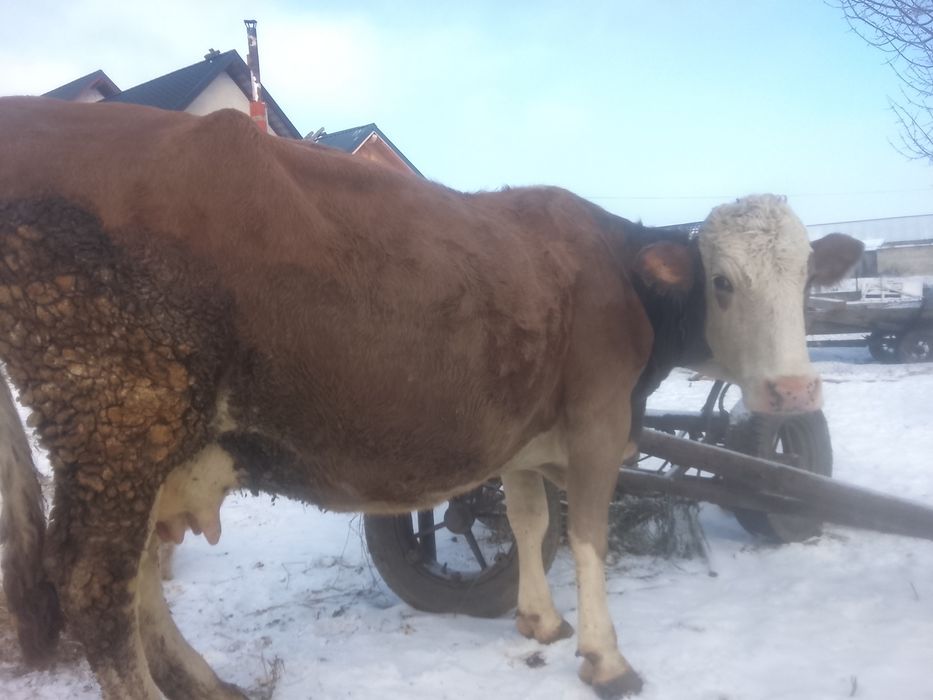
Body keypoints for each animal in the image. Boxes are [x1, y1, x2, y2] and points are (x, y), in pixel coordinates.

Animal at [0, 96, 862, 699]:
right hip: (119, 413)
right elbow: (585, 534)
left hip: (154, 441)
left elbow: (527, 519)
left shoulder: (523, 431)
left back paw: (212, 685)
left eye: (805, 280)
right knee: (94, 586)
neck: (616, 274)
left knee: (141, 577)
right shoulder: (596, 419)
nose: (792, 389)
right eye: (721, 282)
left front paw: (539, 621)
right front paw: (606, 659)